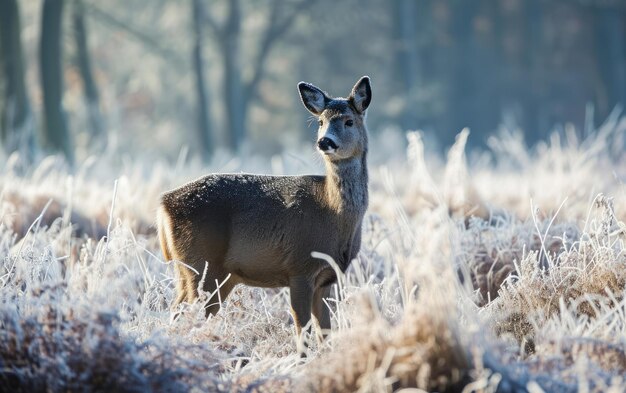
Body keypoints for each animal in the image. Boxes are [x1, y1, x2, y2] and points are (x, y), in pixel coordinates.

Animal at [157, 76, 370, 344]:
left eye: (348, 121)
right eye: (321, 122)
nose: (325, 141)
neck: (332, 213)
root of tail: (164, 203)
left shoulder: (327, 278)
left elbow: (325, 332)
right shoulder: (300, 267)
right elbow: (302, 330)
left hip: (203, 273)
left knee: (178, 310)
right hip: (201, 266)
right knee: (185, 312)